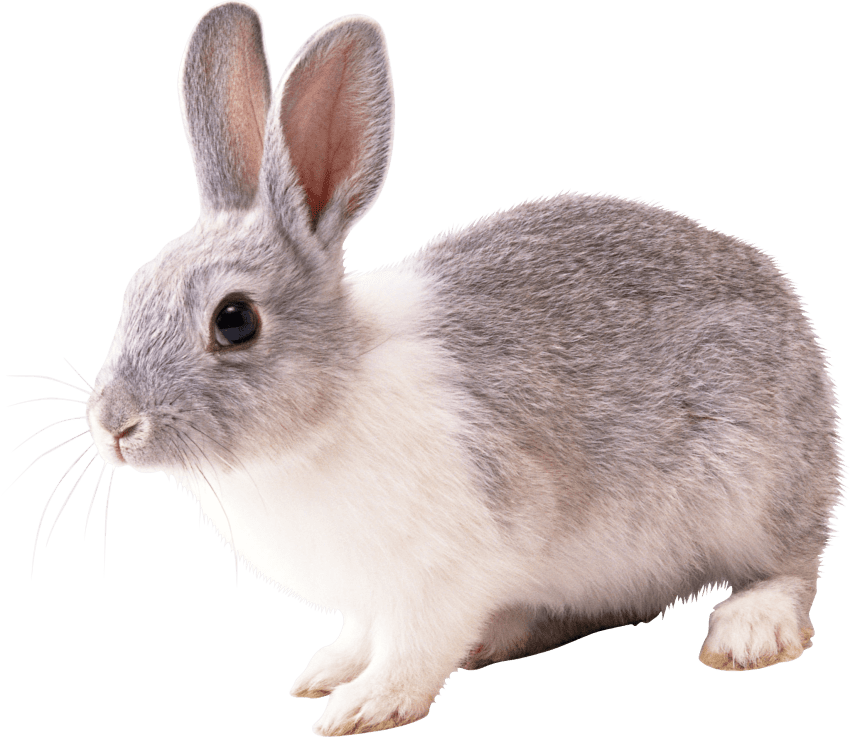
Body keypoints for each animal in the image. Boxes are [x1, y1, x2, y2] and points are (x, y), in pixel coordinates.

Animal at [83, 1, 843, 735]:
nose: (113, 426)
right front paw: (326, 671)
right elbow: (361, 633)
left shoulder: (440, 574)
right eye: (135, 288)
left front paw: (365, 706)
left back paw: (748, 632)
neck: (331, 401)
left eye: (235, 320)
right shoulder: (371, 595)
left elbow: (413, 648)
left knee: (792, 566)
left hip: (753, 490)